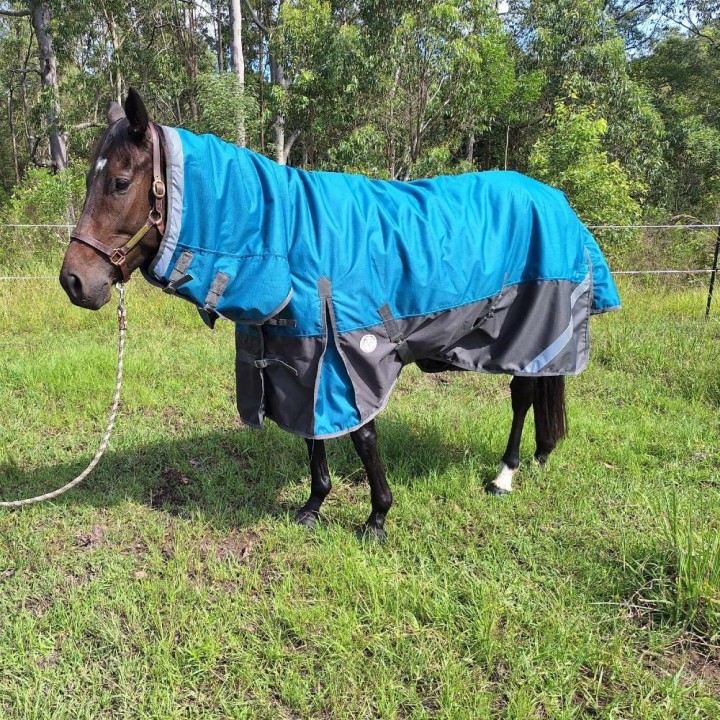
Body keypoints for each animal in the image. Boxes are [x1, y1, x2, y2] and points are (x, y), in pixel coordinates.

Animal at [60, 89, 620, 541]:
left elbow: (362, 435)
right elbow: (313, 433)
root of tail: (556, 200)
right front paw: (313, 505)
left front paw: (377, 517)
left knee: (524, 394)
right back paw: (540, 455)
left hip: (528, 331)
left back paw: (506, 474)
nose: (74, 281)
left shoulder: (350, 355)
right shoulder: (299, 357)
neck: (287, 236)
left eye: (120, 182)